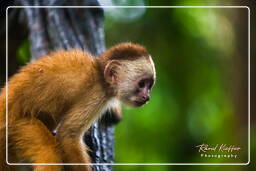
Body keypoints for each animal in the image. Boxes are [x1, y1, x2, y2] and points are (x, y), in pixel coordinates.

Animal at [0, 42, 156, 171]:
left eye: (149, 86)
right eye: (142, 84)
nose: (147, 97)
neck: (99, 75)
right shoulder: (97, 94)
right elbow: (68, 133)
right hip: (14, 127)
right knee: (47, 150)